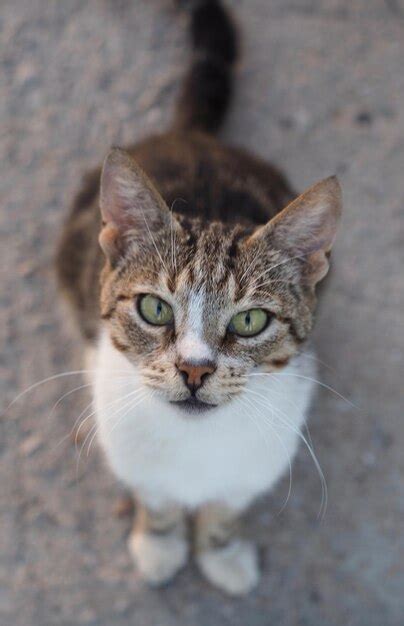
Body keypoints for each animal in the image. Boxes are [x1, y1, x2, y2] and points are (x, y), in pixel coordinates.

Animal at [56, 0, 340, 596]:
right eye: (155, 308)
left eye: (251, 320)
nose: (193, 369)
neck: (195, 448)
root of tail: (191, 135)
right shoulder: (135, 455)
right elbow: (158, 501)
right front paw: (160, 543)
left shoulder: (255, 466)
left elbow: (225, 509)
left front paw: (222, 551)